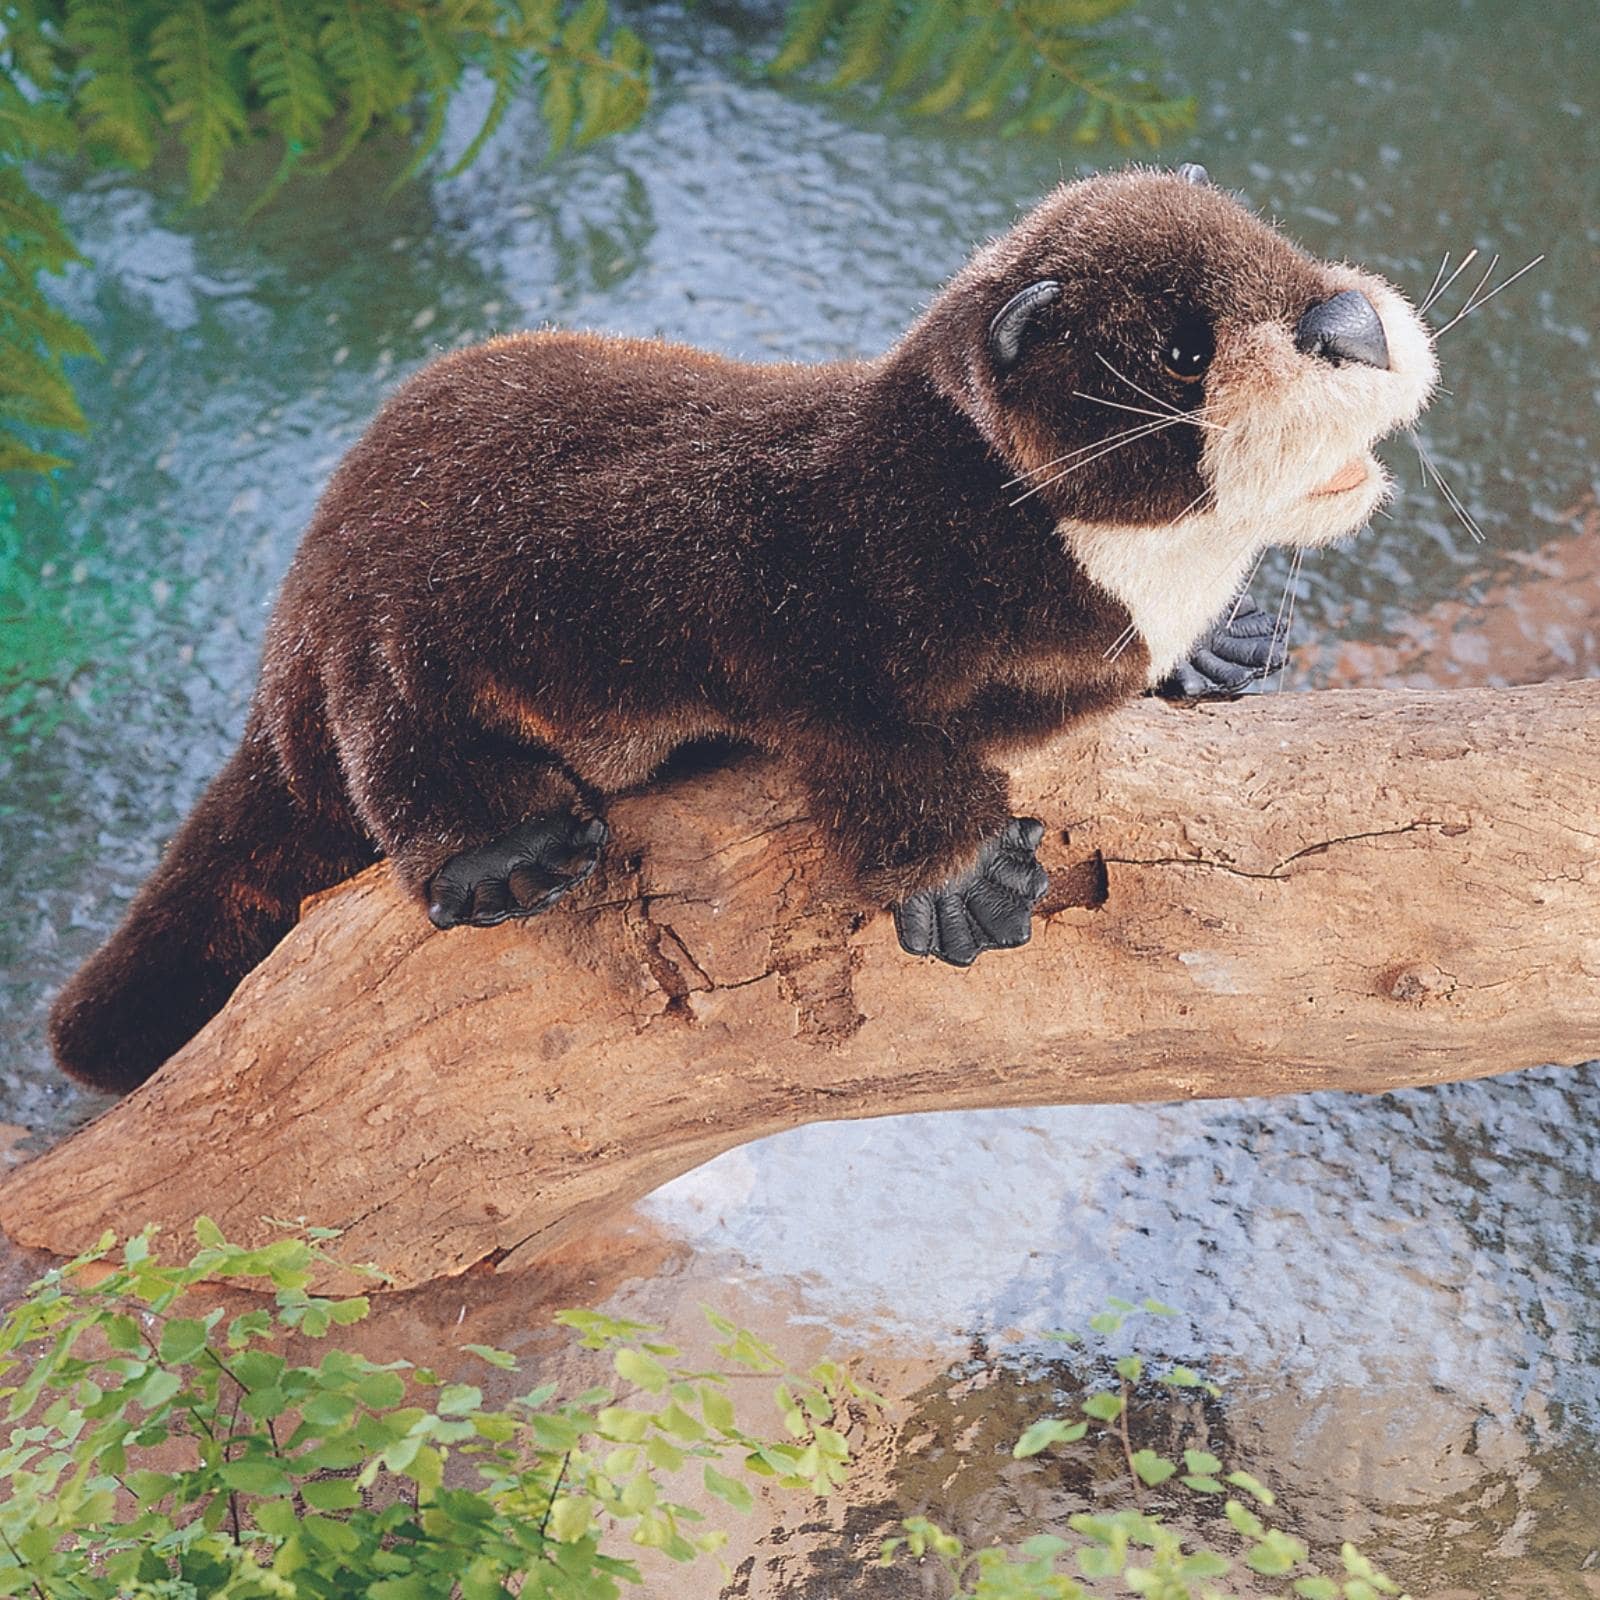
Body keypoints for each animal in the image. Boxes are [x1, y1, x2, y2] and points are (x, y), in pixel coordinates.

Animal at [49, 164, 1436, 1094]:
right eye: (1182, 351)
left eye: (1283, 249)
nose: (1344, 324)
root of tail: (285, 636)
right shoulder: (812, 611)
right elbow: (870, 748)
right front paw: (962, 884)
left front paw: (1218, 649)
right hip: (383, 639)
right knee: (396, 759)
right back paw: (506, 854)